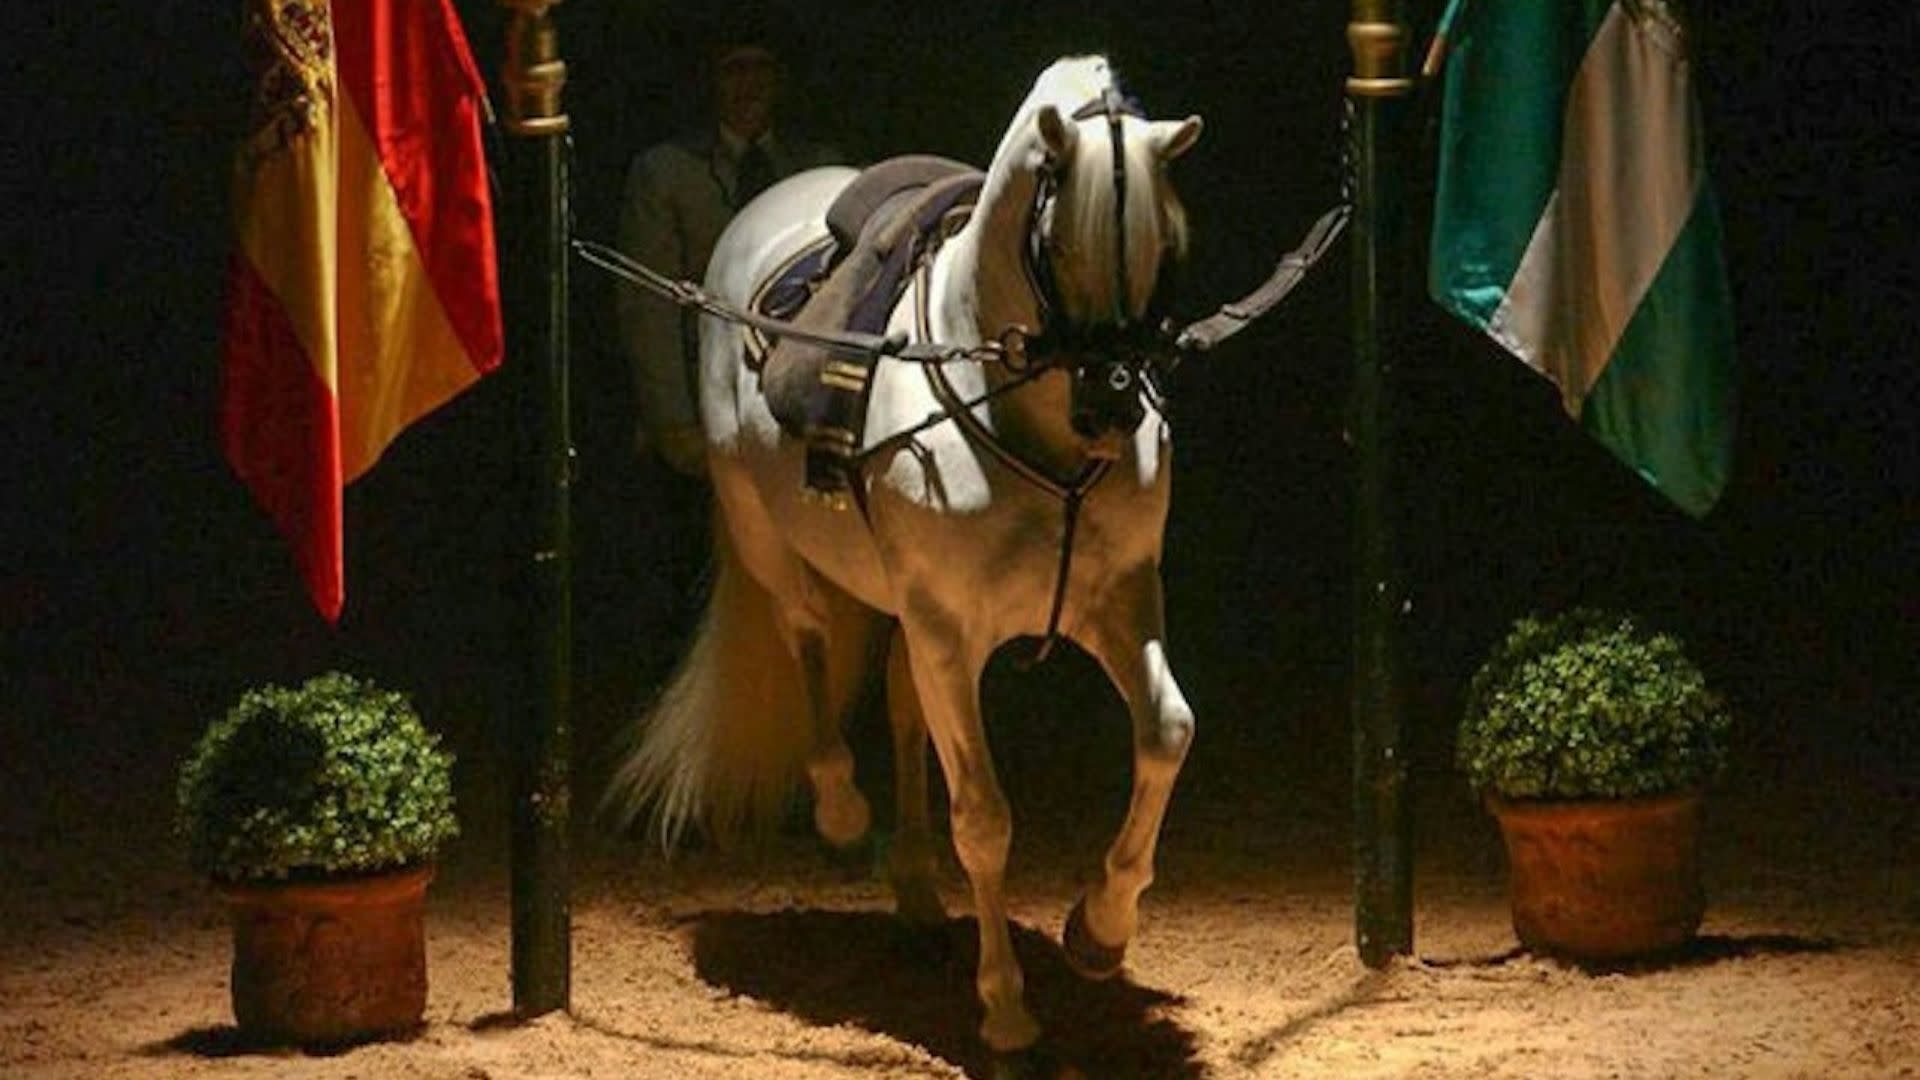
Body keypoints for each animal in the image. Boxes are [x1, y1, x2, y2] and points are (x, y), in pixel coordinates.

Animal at [608, 55, 1204, 1056]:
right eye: (1061, 244)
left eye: (1165, 245)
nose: (1113, 407)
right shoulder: (950, 634)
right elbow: (986, 817)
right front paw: (1005, 1009)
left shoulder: (1118, 602)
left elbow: (1165, 733)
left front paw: (1100, 929)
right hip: (774, 547)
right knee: (809, 642)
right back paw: (845, 814)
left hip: (907, 614)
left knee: (900, 705)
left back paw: (921, 897)